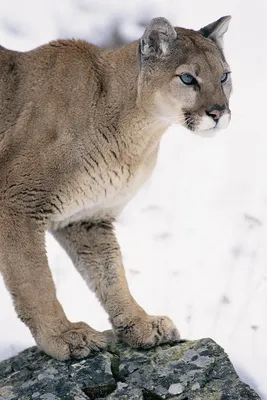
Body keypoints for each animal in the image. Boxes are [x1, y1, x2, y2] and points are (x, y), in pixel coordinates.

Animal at [0, 14, 232, 360]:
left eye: (225, 76)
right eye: (188, 78)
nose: (219, 112)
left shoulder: (88, 217)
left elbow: (111, 274)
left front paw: (139, 323)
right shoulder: (17, 202)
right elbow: (34, 279)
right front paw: (63, 335)